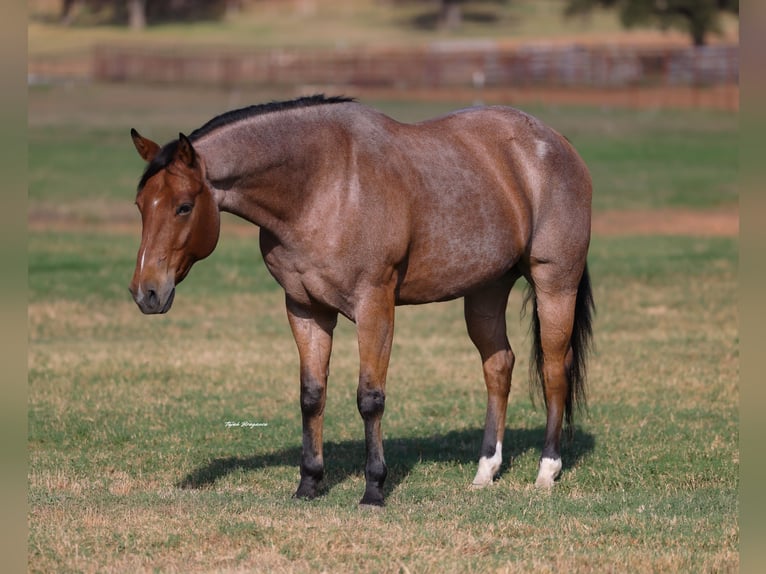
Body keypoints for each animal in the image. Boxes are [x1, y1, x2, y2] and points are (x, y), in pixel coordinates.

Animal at [129, 95, 594, 506]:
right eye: (140, 205)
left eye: (183, 207)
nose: (146, 293)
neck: (322, 186)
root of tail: (557, 143)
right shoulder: (305, 309)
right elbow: (312, 395)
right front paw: (309, 484)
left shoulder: (374, 306)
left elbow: (370, 398)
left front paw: (373, 489)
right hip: (486, 290)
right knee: (499, 367)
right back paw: (485, 471)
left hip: (555, 284)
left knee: (555, 370)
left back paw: (546, 471)